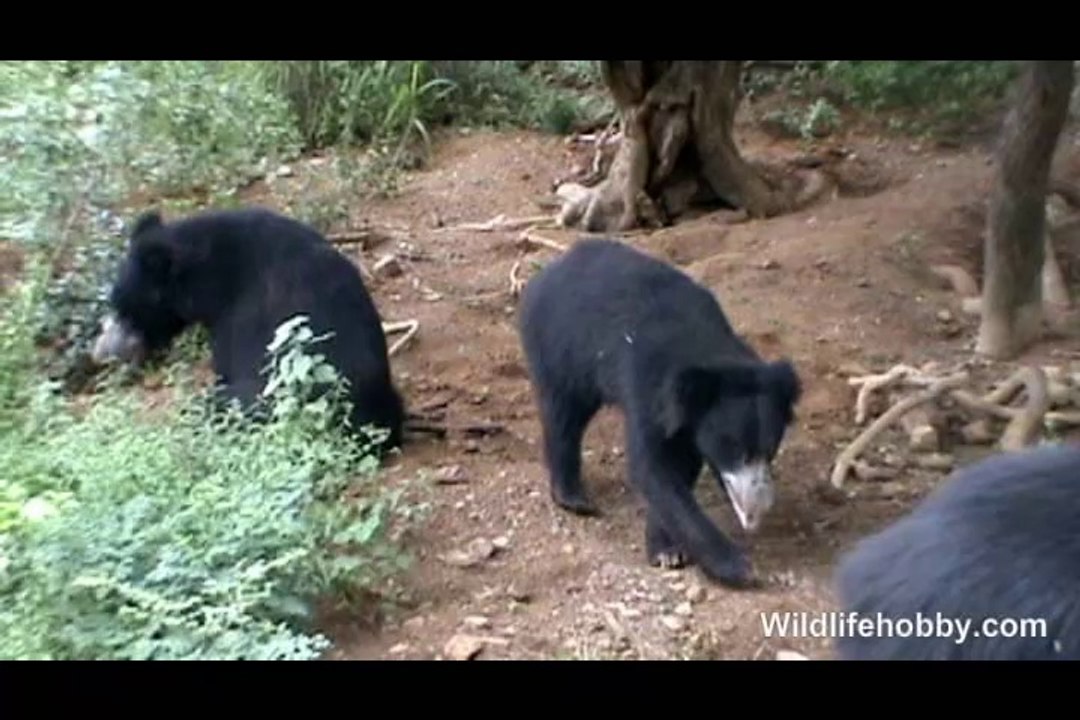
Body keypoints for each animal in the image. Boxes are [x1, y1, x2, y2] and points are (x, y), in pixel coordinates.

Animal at [516, 238, 802, 589]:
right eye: (738, 451)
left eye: (769, 450)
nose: (757, 510)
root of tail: (546, 272)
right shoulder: (646, 387)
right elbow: (654, 468)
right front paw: (738, 566)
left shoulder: (689, 424)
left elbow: (679, 470)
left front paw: (667, 550)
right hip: (559, 348)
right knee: (563, 416)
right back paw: (573, 498)